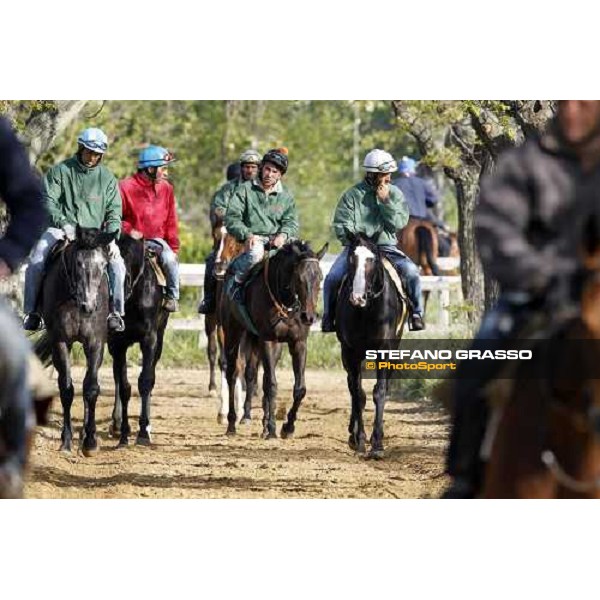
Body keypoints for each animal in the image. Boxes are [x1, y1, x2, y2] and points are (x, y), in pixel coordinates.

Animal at [32, 227, 113, 458]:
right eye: (78, 263)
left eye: (103, 264)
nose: (89, 306)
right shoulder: (60, 342)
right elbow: (66, 389)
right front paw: (66, 442)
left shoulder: (95, 343)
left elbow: (91, 388)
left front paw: (90, 442)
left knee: (87, 386)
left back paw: (85, 435)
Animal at [106, 234, 169, 446]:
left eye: (135, 258)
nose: (121, 287)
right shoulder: (117, 343)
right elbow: (125, 387)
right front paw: (124, 434)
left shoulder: (150, 340)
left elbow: (146, 381)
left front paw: (143, 432)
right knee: (117, 378)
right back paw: (116, 424)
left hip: (159, 340)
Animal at [219, 240, 326, 440]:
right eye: (299, 278)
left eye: (320, 278)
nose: (308, 316)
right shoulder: (268, 341)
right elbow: (271, 385)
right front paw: (272, 429)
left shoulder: (298, 343)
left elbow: (299, 388)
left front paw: (287, 427)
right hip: (232, 332)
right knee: (232, 373)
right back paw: (231, 423)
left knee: (255, 374)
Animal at [336, 232, 410, 458]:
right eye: (351, 259)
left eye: (373, 260)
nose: (357, 297)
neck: (367, 311)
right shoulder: (351, 353)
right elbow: (358, 394)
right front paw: (360, 441)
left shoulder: (384, 351)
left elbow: (380, 391)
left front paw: (377, 444)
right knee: (352, 387)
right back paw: (353, 435)